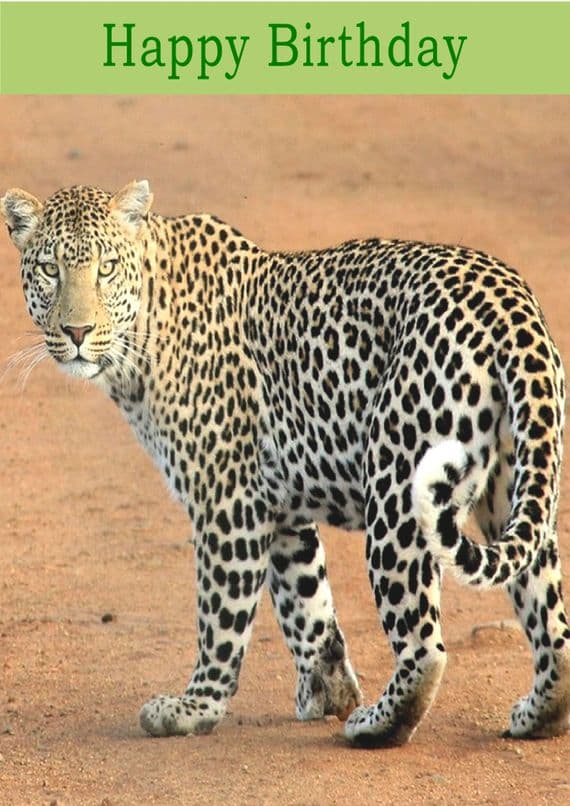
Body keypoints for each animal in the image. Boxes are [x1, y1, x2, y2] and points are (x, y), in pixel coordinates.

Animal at [2, 180, 569, 747]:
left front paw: (195, 707)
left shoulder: (227, 501)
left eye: (106, 268)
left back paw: (377, 724)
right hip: (515, 488)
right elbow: (308, 605)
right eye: (50, 268)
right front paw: (329, 692)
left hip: (397, 488)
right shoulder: (280, 509)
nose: (77, 331)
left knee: (424, 646)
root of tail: (511, 304)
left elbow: (221, 616)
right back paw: (537, 714)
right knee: (553, 623)